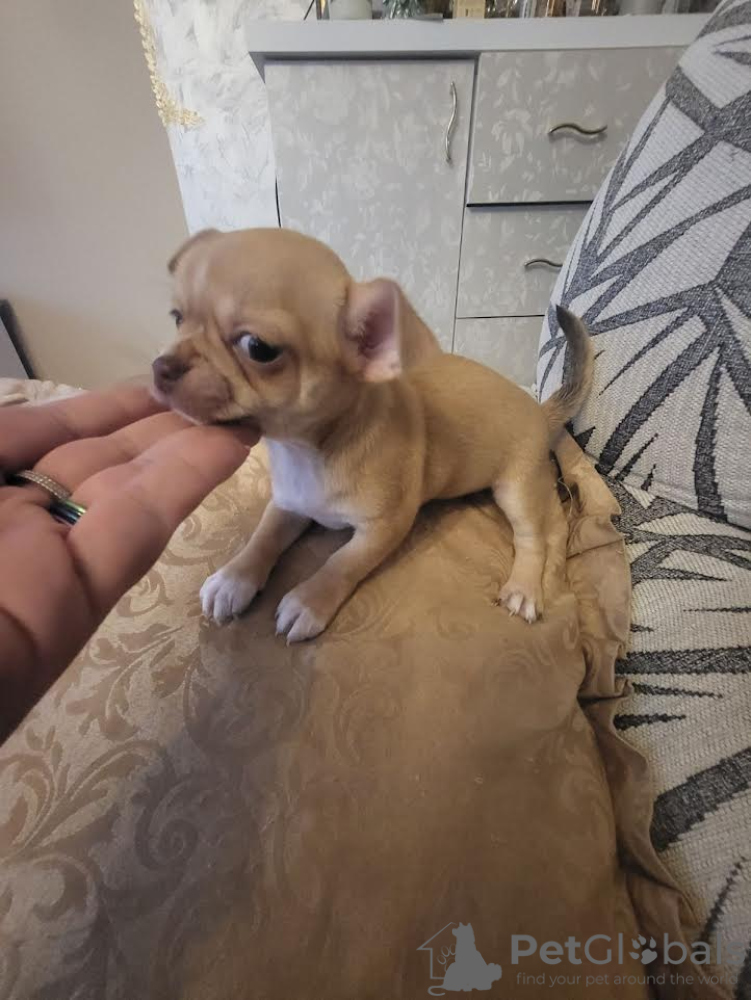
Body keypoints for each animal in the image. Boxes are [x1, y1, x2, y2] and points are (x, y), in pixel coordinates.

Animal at [152, 228, 592, 642]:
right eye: (175, 318)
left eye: (258, 348)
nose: (161, 366)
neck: (307, 451)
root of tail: (539, 409)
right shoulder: (288, 505)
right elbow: (263, 537)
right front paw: (234, 578)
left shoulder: (383, 527)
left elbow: (342, 563)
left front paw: (308, 601)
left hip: (515, 487)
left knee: (534, 536)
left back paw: (524, 587)